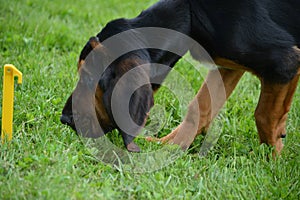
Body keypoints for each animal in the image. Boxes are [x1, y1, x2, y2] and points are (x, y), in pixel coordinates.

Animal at [59, 0, 298, 153]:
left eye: (88, 77)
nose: (65, 119)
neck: (191, 12)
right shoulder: (228, 63)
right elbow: (199, 107)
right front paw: (170, 145)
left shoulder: (285, 61)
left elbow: (264, 115)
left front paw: (273, 161)